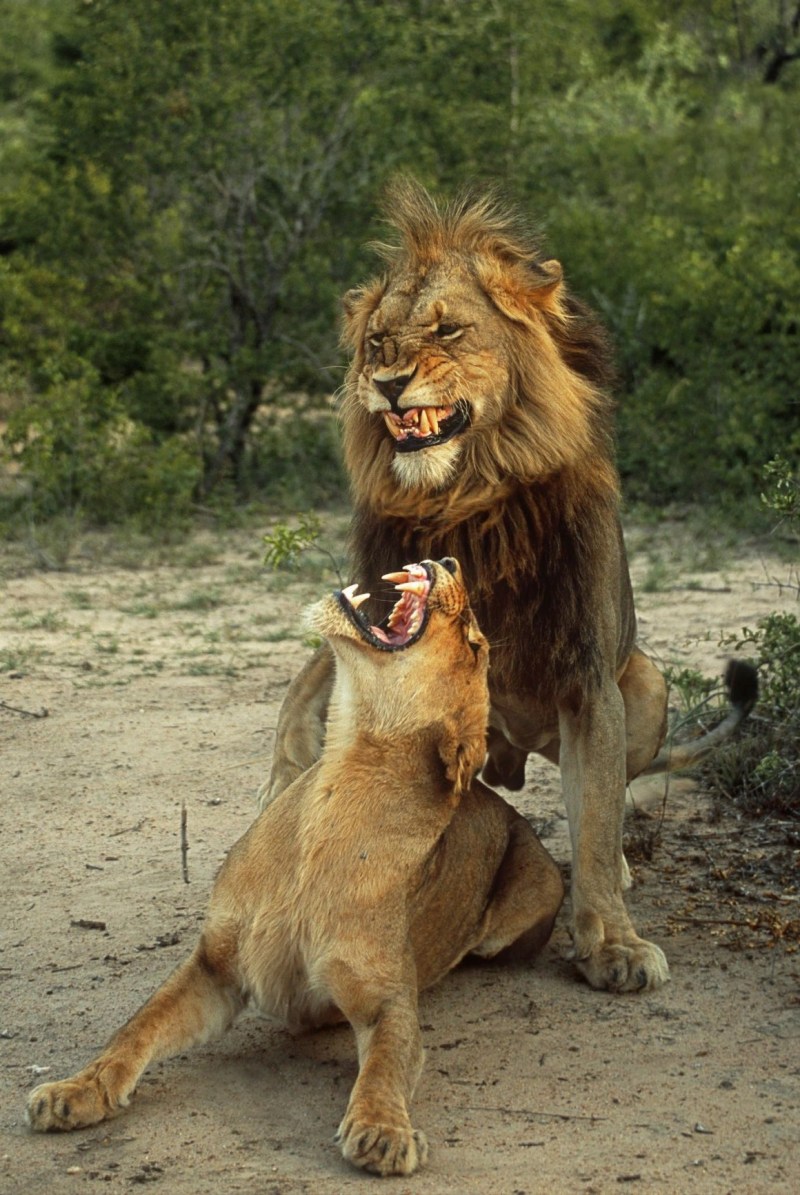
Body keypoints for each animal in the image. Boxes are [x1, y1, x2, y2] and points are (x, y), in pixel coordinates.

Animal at [26, 559, 562, 1175]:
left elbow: (387, 1063)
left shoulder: (386, 997)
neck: (339, 786)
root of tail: (514, 814)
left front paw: (383, 1132)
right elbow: (137, 1027)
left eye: (475, 646)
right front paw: (75, 1091)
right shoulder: (214, 966)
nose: (449, 562)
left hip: (528, 902)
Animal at [265, 181, 760, 994]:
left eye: (449, 330)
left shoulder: (588, 678)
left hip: (646, 681)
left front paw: (612, 944)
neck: (466, 499)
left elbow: (594, 822)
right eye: (377, 341)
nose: (387, 383)